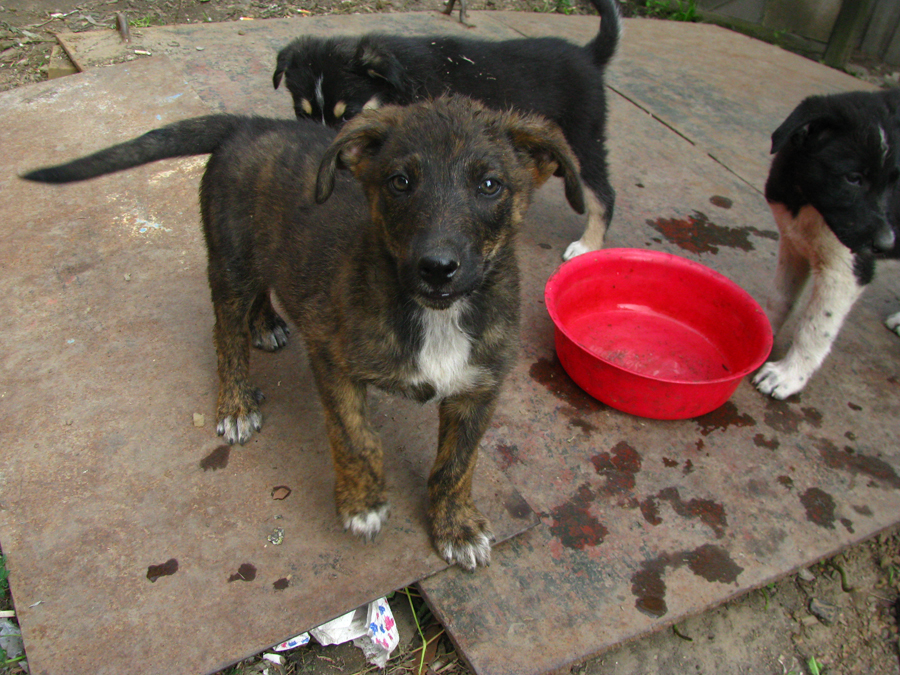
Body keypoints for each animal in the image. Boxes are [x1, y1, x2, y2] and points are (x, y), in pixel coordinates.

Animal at [23, 96, 584, 569]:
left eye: (490, 185)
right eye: (400, 182)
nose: (437, 268)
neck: (435, 315)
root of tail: (248, 123)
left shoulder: (480, 386)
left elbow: (457, 463)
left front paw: (457, 527)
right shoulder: (332, 360)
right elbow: (357, 438)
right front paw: (362, 504)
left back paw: (267, 323)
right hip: (229, 261)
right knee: (226, 338)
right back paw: (235, 403)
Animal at [272, 0, 619, 261]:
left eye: (349, 115)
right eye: (301, 114)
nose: (323, 158)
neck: (398, 84)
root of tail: (588, 54)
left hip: (582, 137)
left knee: (603, 194)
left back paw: (587, 245)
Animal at [753, 89, 900, 400]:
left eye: (894, 182)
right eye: (853, 178)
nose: (886, 243)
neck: (809, 202)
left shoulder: (847, 270)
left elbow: (815, 327)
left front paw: (788, 375)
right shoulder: (793, 242)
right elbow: (780, 297)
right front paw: (763, 333)